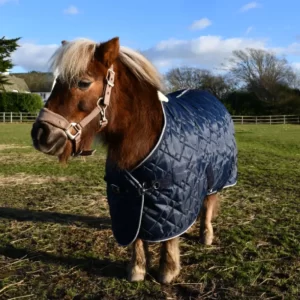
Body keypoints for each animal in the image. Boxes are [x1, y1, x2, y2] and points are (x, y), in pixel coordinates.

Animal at [30, 37, 237, 284]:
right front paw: (137, 269)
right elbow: (136, 234)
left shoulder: (174, 194)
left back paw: (206, 234)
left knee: (208, 203)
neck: (143, 137)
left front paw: (168, 270)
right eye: (56, 83)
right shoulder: (126, 196)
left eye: (83, 83)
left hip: (215, 175)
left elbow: (169, 236)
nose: (40, 134)